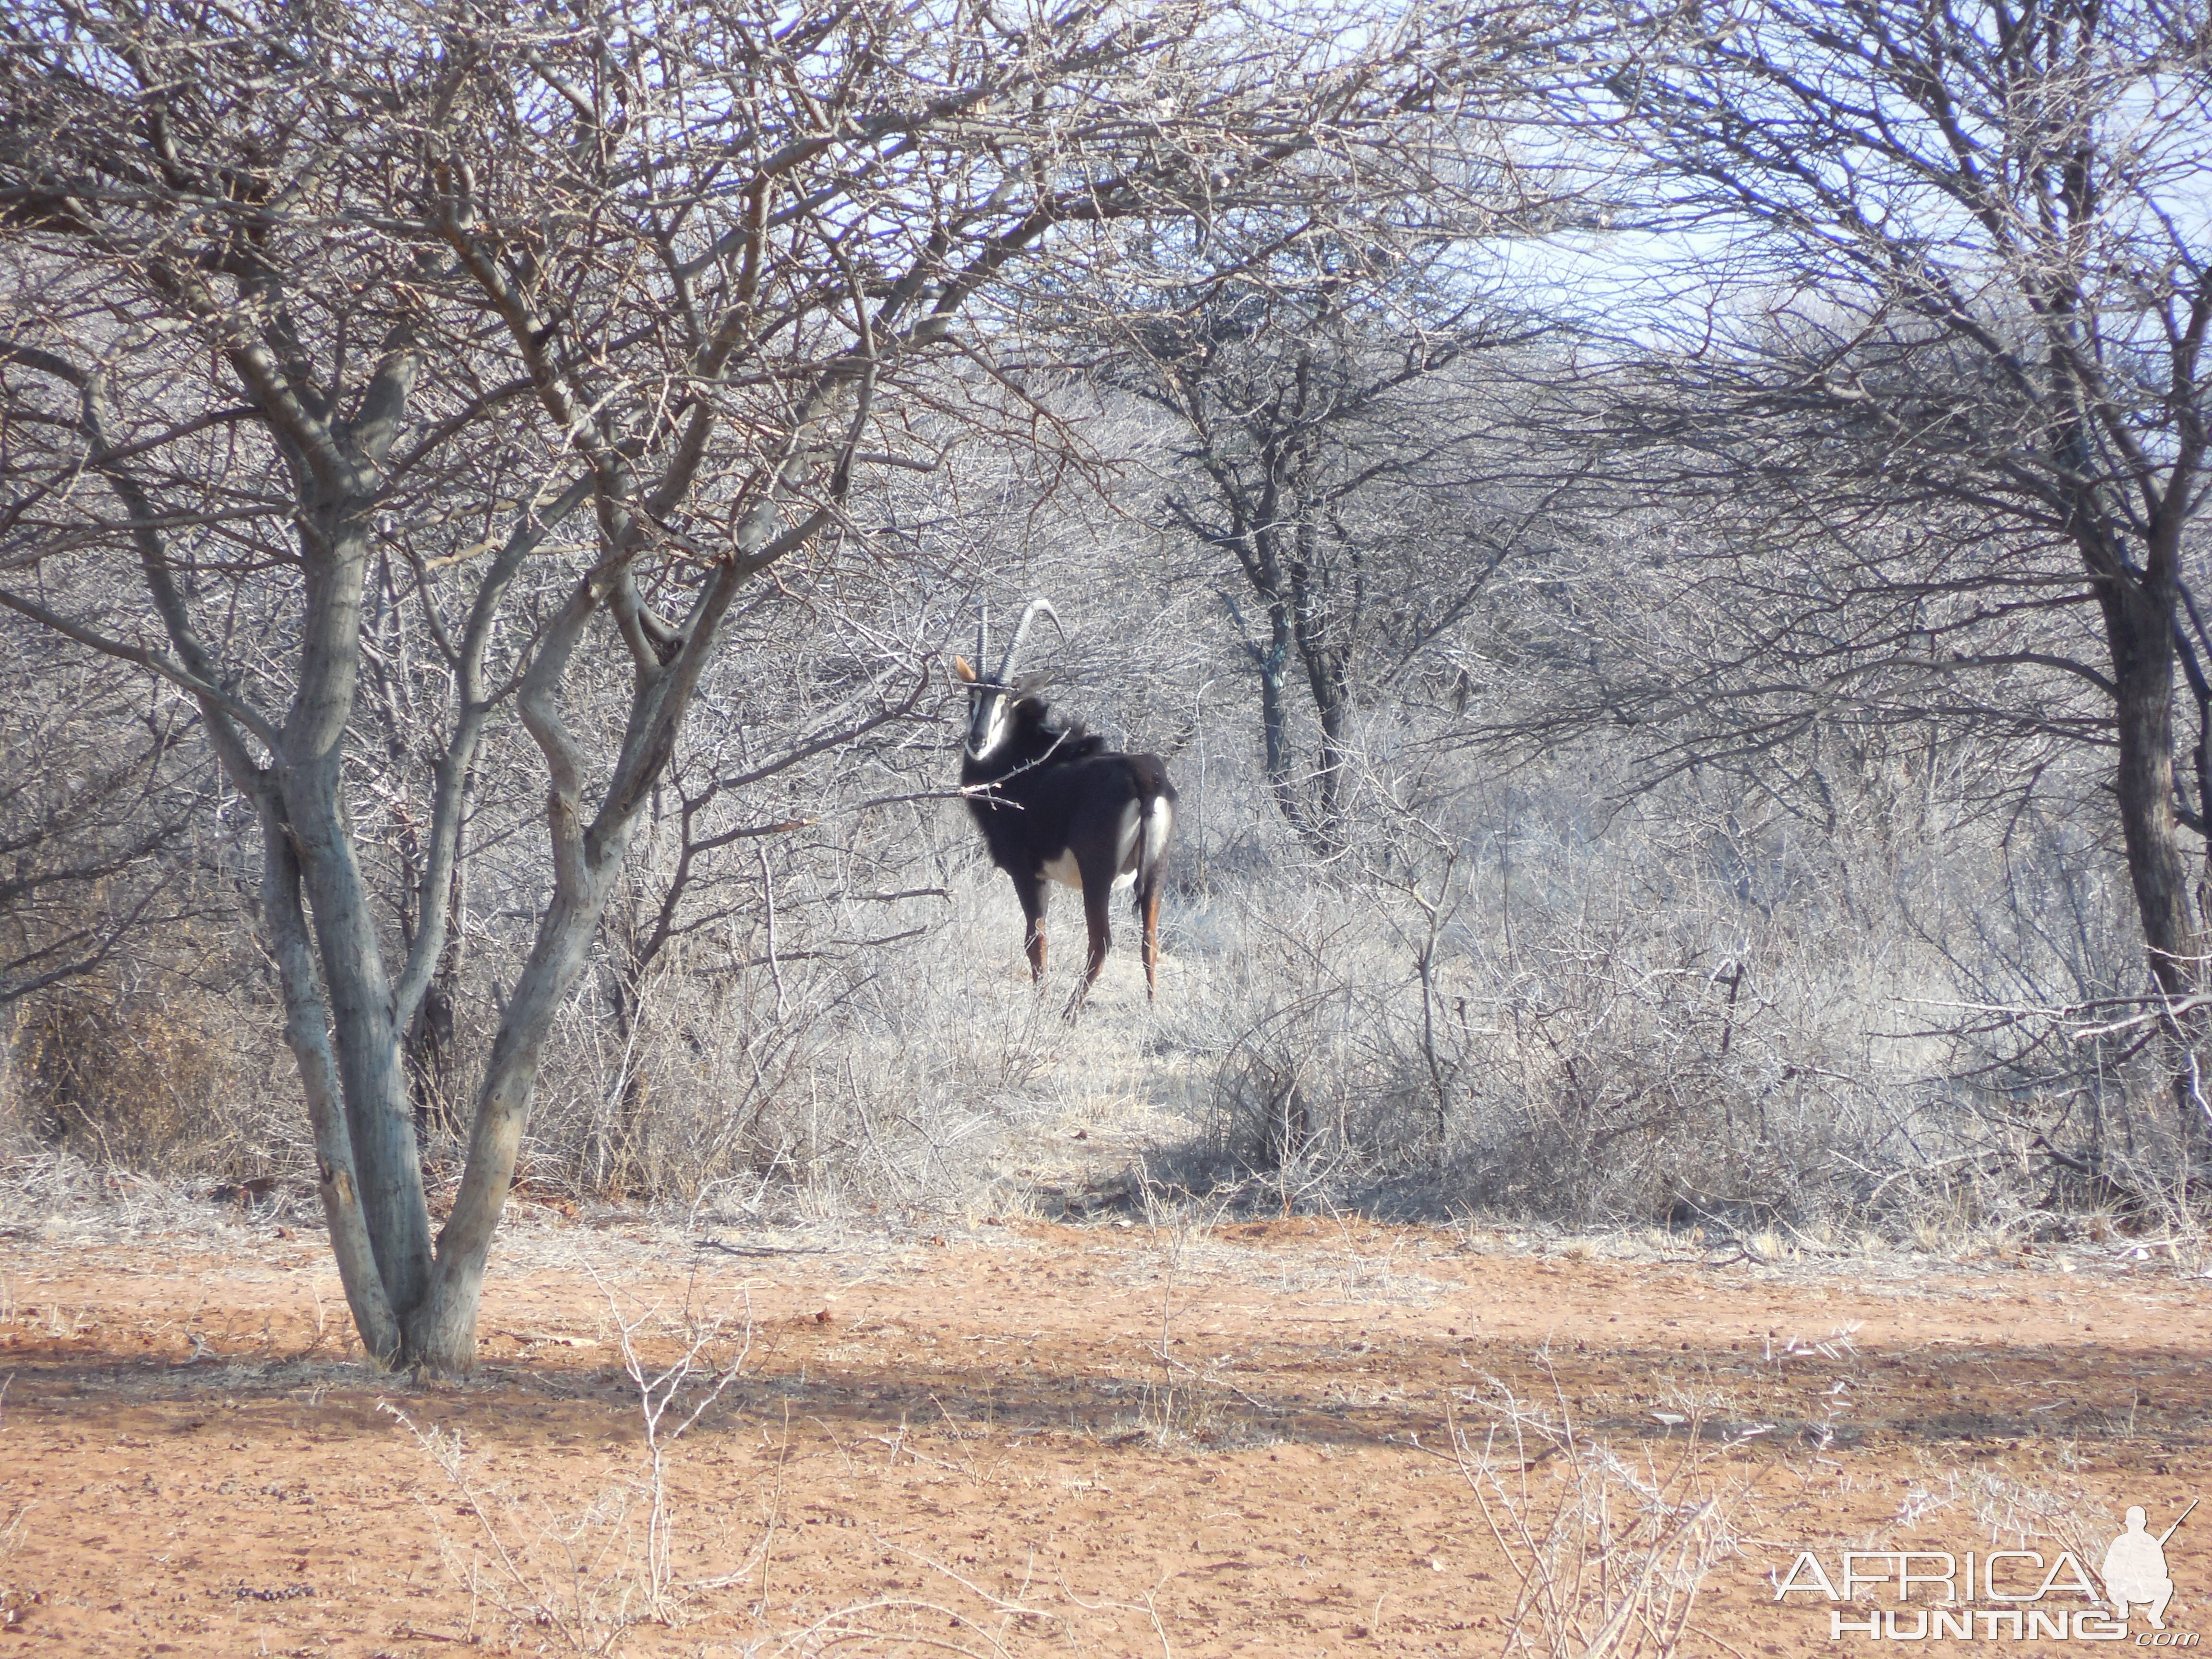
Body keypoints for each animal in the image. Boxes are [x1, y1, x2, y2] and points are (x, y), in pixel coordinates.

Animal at [951, 601, 1177, 1013]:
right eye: (971, 698)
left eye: (1007, 701)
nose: (977, 741)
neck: (1023, 758)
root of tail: (1145, 777)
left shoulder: (1028, 873)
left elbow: (1035, 938)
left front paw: (1038, 1008)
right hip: (1158, 870)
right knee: (1150, 939)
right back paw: (1153, 1011)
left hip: (1097, 873)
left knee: (1101, 941)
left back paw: (1068, 1013)